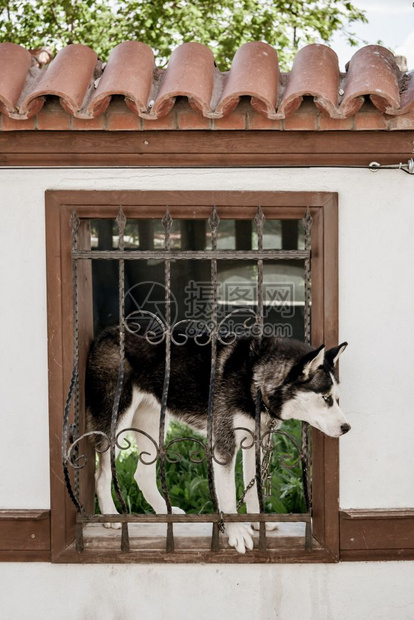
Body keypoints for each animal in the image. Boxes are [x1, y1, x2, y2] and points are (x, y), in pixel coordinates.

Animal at [86, 330, 350, 552]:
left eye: (337, 398)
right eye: (326, 398)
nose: (347, 428)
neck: (254, 381)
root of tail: (105, 333)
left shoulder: (254, 444)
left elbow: (253, 490)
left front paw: (258, 521)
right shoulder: (224, 444)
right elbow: (229, 494)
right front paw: (236, 531)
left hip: (151, 424)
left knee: (142, 475)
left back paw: (163, 511)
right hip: (116, 425)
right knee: (101, 474)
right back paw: (110, 514)